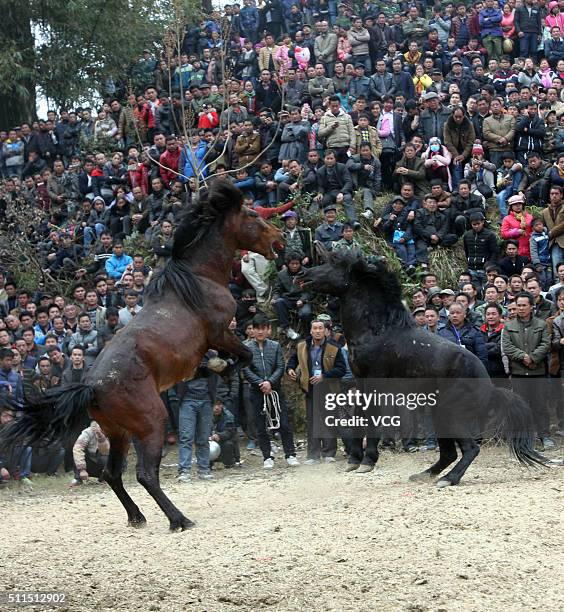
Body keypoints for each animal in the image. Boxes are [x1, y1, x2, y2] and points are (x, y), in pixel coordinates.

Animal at [5, 182, 282, 532]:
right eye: (252, 216)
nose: (279, 239)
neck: (200, 276)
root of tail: (91, 388)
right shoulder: (222, 333)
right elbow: (243, 357)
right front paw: (220, 367)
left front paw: (210, 369)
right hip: (151, 425)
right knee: (145, 475)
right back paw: (179, 519)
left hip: (118, 433)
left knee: (112, 474)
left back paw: (137, 517)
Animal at [298, 249, 552, 488]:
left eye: (334, 263)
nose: (302, 276)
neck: (377, 330)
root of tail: (489, 386)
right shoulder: (360, 381)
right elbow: (361, 416)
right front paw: (355, 460)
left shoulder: (375, 381)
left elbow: (373, 418)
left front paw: (367, 461)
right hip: (439, 413)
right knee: (449, 453)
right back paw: (425, 474)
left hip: (451, 413)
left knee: (471, 449)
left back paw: (448, 479)